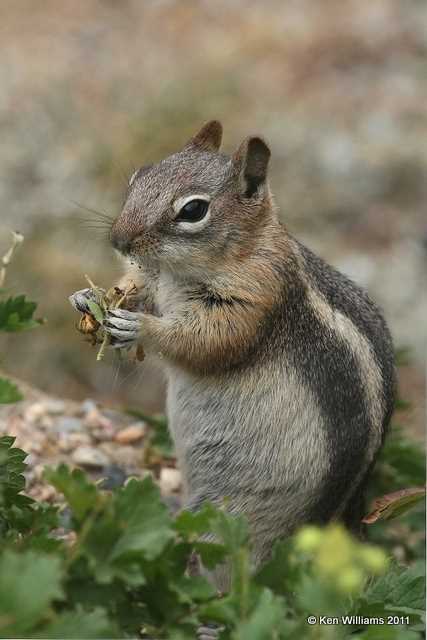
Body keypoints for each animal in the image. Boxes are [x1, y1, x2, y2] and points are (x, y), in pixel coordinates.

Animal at [69, 121, 394, 596]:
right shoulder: (153, 281)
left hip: (232, 520)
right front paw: (86, 298)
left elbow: (206, 341)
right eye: (138, 176)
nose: (119, 240)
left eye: (193, 210)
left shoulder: (255, 298)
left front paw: (139, 327)